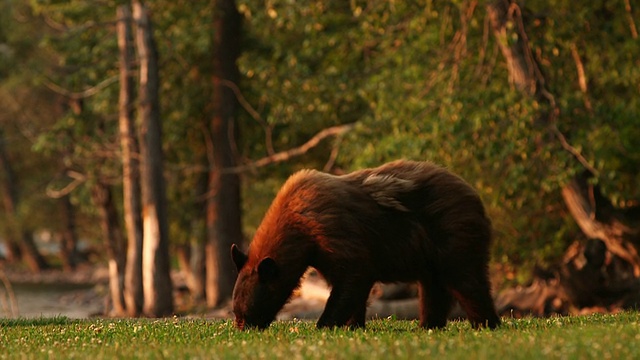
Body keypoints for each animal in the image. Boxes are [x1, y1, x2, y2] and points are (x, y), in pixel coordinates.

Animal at [230, 160, 500, 330]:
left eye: (245, 314)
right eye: (236, 312)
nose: (243, 328)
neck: (298, 222)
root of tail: (474, 195)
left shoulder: (333, 230)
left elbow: (354, 274)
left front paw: (325, 324)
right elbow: (351, 286)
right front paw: (353, 325)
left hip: (453, 232)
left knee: (466, 280)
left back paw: (486, 322)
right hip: (432, 255)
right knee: (434, 288)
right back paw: (428, 325)